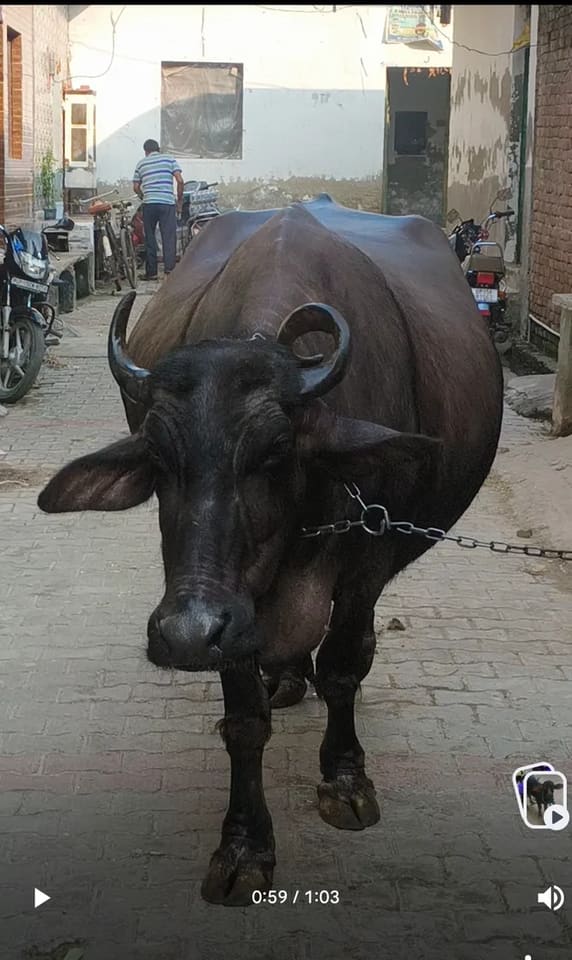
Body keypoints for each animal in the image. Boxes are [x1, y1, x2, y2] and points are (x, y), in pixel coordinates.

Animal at [38, 195, 503, 905]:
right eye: (159, 458)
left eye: (276, 450)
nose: (185, 633)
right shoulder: (235, 608)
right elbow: (244, 720)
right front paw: (244, 844)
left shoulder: (363, 569)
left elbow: (343, 666)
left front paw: (345, 777)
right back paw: (283, 676)